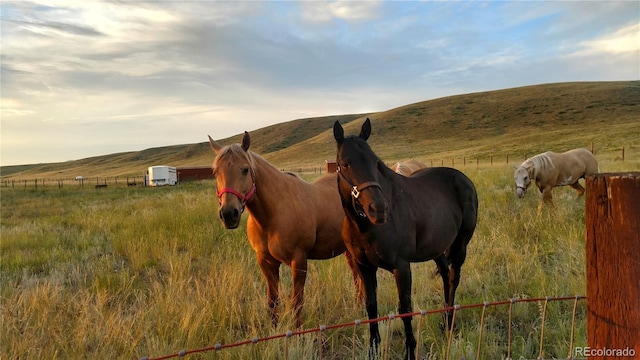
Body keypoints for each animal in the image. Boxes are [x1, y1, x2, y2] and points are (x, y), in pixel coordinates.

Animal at [209, 132, 360, 330]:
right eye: (215, 172)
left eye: (245, 170)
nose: (228, 214)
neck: (274, 214)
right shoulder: (266, 263)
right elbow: (273, 301)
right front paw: (274, 331)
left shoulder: (299, 261)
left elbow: (297, 301)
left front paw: (298, 332)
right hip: (348, 249)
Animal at [332, 119, 478, 360]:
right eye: (345, 164)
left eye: (376, 161)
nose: (379, 209)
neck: (365, 229)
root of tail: (463, 178)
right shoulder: (364, 267)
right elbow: (371, 307)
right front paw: (373, 348)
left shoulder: (401, 267)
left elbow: (405, 309)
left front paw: (410, 349)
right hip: (437, 248)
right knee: (445, 275)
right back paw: (444, 319)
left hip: (460, 245)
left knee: (454, 278)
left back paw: (449, 323)